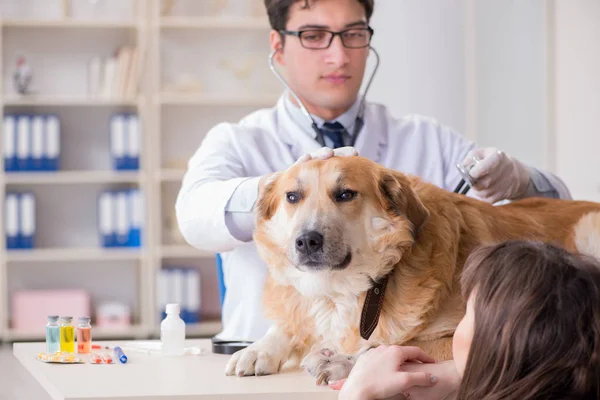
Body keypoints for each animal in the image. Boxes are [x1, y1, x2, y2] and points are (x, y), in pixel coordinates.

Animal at [224, 155, 600, 382]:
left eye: (345, 194)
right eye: (292, 197)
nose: (306, 241)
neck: (347, 289)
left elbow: (388, 346)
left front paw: (345, 360)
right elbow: (288, 323)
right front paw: (257, 349)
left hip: (588, 228)